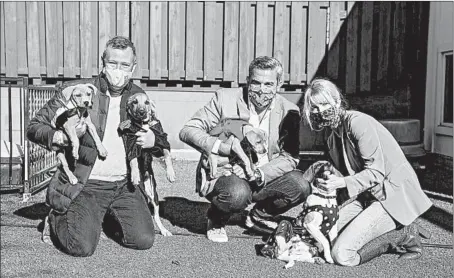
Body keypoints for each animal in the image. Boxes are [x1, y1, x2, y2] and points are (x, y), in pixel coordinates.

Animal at [118, 92, 175, 236]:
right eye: (134, 102)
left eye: (147, 102)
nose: (142, 112)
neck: (143, 125)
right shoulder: (132, 143)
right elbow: (133, 161)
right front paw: (134, 175)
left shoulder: (160, 140)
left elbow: (167, 154)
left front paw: (170, 174)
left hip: (154, 195)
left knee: (156, 216)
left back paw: (164, 230)